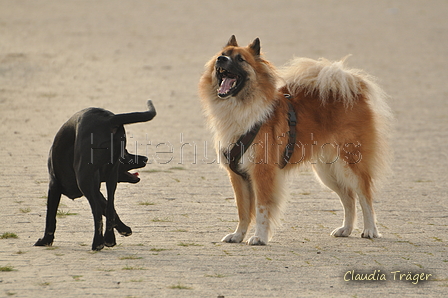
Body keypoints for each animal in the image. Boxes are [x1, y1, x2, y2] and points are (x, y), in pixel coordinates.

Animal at [34, 101, 156, 250]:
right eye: (125, 153)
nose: (145, 158)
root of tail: (109, 119)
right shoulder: (97, 188)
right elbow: (108, 208)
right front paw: (124, 229)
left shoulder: (54, 185)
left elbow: (50, 216)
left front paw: (45, 240)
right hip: (111, 177)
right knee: (110, 208)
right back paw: (109, 239)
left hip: (84, 179)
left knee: (97, 211)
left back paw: (97, 243)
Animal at [198, 35, 390, 244]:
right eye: (222, 55)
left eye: (240, 59)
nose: (221, 60)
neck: (240, 109)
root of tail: (352, 88)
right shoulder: (238, 175)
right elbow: (243, 211)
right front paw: (238, 235)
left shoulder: (262, 172)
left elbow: (261, 209)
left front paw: (260, 237)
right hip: (327, 170)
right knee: (349, 198)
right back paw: (345, 229)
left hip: (351, 162)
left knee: (364, 195)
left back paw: (370, 230)